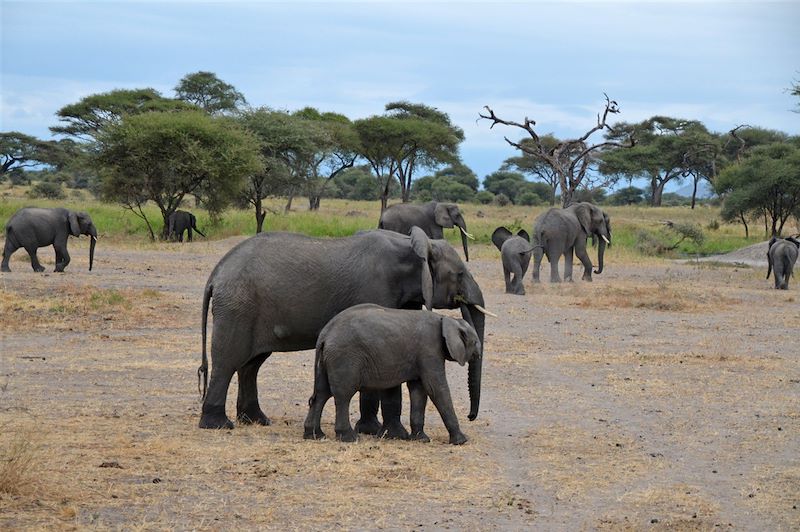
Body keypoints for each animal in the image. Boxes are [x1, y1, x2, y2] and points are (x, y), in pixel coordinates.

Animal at [304, 304, 482, 444]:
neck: (446, 319)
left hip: (327, 359)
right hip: (344, 357)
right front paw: (461, 441)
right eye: (474, 342)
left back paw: (315, 435)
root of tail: (325, 335)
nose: (470, 416)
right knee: (343, 395)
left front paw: (421, 439)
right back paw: (349, 438)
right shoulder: (429, 349)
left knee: (321, 393)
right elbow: (435, 388)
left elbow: (419, 390)